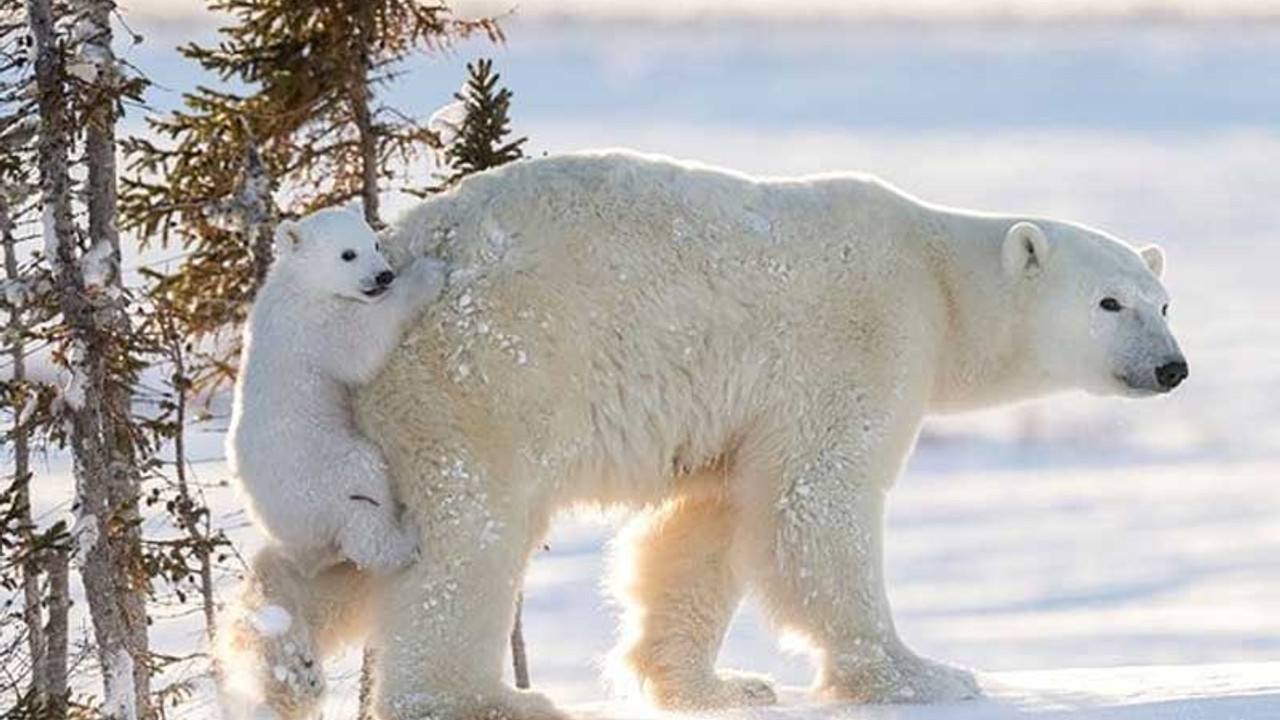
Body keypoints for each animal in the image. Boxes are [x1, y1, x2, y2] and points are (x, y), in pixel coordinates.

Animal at [227, 206, 448, 571]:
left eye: (374, 243)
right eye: (348, 254)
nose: (384, 276)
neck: (299, 284)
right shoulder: (311, 327)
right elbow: (359, 346)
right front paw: (427, 273)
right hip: (321, 472)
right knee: (362, 488)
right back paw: (407, 534)